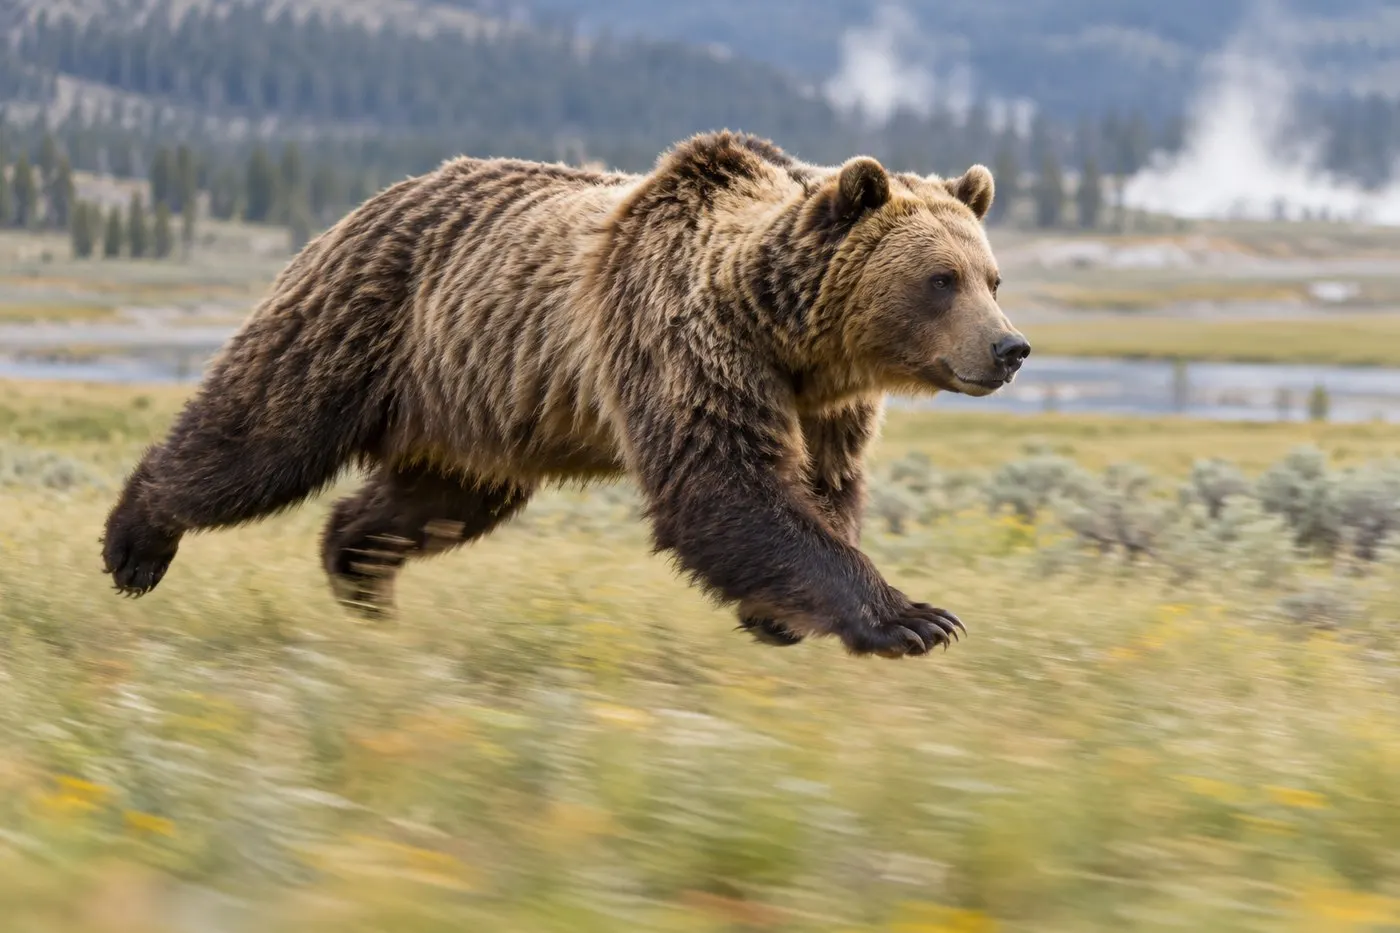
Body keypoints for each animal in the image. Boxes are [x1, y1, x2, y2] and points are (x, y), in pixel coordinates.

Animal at [100, 130, 1030, 659]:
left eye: (992, 275)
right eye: (940, 279)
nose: (1010, 348)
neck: (791, 336)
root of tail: (372, 200)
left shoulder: (823, 405)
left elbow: (822, 491)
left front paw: (785, 615)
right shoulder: (683, 339)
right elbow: (726, 485)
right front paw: (913, 620)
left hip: (477, 404)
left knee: (433, 500)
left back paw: (359, 572)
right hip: (360, 325)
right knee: (259, 436)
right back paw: (135, 542)